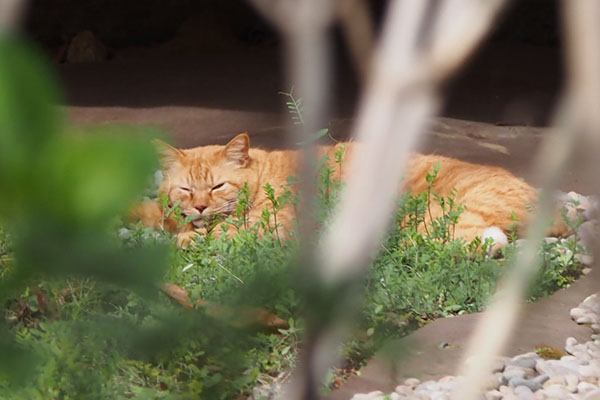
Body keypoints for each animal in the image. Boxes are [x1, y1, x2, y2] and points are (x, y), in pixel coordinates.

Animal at [132, 133, 568, 248]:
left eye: (218, 186)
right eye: (186, 190)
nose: (200, 208)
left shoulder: (271, 225)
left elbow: (214, 234)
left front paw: (187, 238)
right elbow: (150, 211)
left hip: (426, 221)